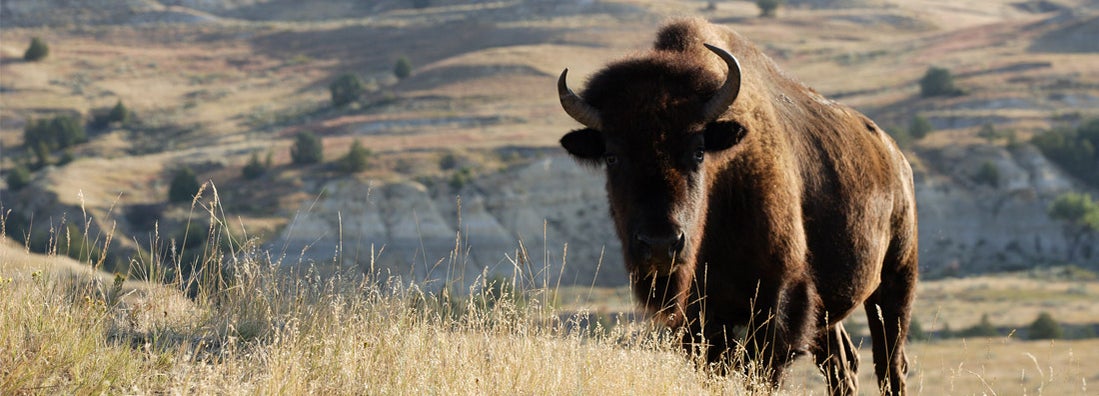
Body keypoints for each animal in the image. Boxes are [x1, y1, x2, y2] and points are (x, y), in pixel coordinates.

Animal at [558, 18, 918, 396]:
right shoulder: (700, 320)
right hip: (830, 313)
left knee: (890, 363)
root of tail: (895, 156)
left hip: (896, 280)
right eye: (612, 156)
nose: (660, 244)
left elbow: (760, 370)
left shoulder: (777, 302)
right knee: (842, 363)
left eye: (698, 151)